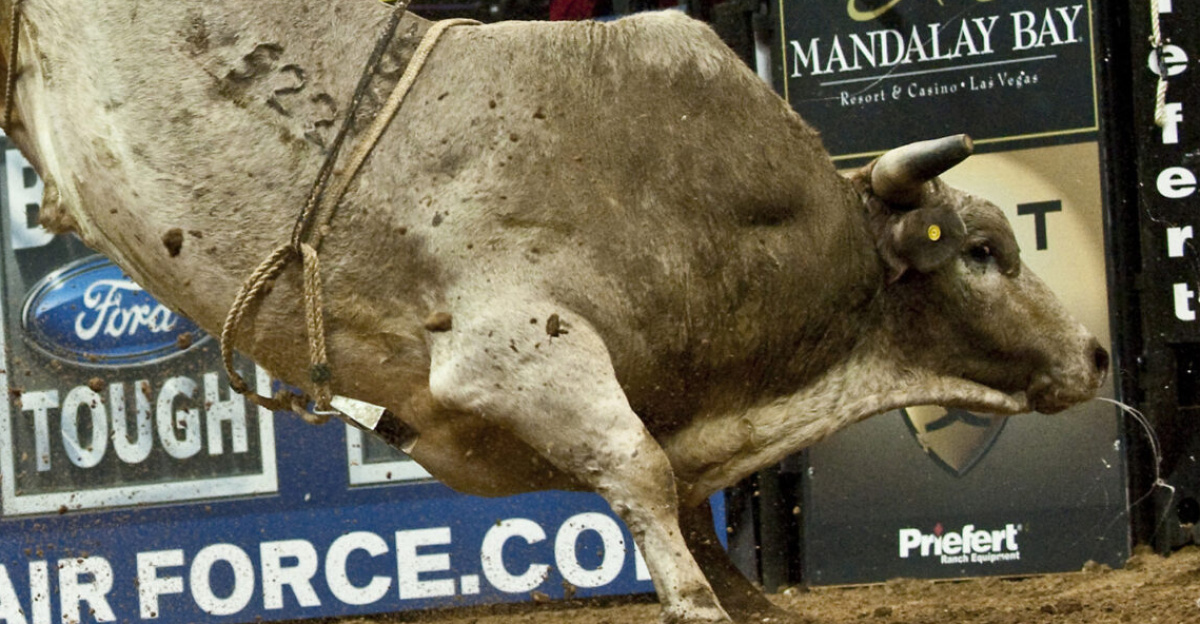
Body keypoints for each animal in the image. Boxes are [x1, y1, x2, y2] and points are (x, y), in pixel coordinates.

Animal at [0, 2, 1107, 623]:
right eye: (983, 251)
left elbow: (686, 506)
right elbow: (644, 476)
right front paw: (698, 604)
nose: (1096, 353)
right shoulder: (519, 356)